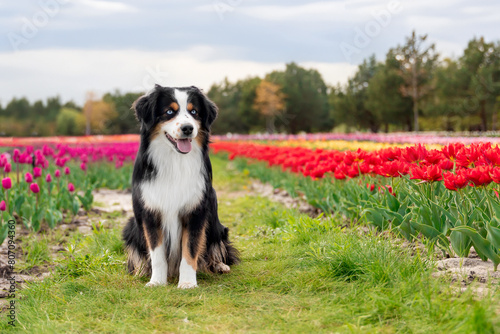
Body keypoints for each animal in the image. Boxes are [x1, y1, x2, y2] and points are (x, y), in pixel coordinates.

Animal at [121, 83, 238, 288]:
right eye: (169, 111)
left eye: (194, 112)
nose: (188, 128)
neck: (175, 160)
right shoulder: (151, 212)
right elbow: (157, 254)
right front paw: (157, 282)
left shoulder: (195, 212)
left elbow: (190, 251)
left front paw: (188, 283)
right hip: (131, 227)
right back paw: (142, 270)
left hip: (217, 226)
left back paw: (220, 265)